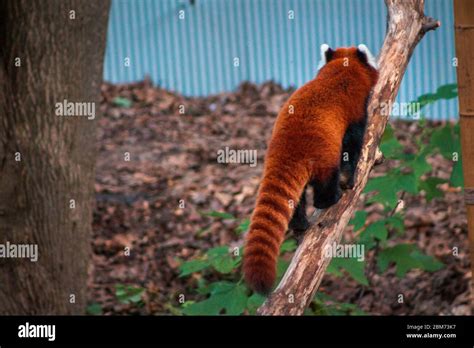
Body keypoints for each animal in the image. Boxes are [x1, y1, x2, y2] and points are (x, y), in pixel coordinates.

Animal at [243, 42, 380, 294]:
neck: (341, 71)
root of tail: (287, 150)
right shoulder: (355, 113)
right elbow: (352, 148)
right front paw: (349, 179)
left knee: (295, 201)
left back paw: (300, 224)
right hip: (323, 156)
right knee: (324, 184)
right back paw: (331, 199)